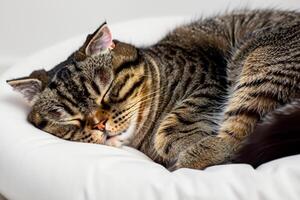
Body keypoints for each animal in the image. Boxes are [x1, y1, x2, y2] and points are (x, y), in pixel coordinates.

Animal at [6, 9, 300, 170]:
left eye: (106, 89)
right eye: (69, 118)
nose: (99, 125)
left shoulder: (208, 80)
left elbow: (172, 128)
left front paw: (178, 144)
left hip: (259, 62)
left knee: (234, 141)